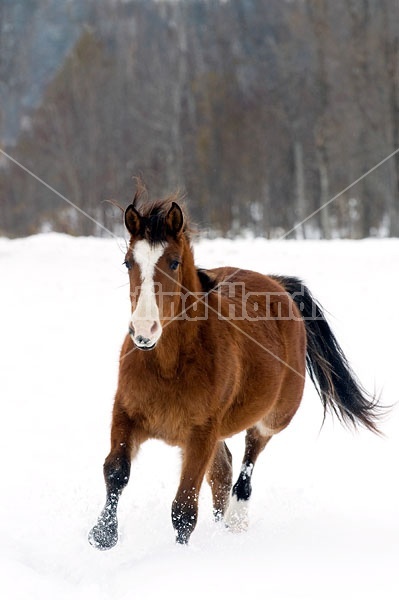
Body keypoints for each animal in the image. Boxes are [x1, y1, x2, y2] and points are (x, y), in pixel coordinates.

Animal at [90, 192, 382, 548]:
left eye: (173, 262)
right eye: (128, 262)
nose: (144, 331)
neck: (169, 365)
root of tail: (275, 283)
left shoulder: (201, 432)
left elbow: (184, 507)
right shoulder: (126, 414)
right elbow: (116, 471)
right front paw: (102, 536)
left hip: (272, 418)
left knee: (244, 470)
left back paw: (236, 522)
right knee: (223, 473)